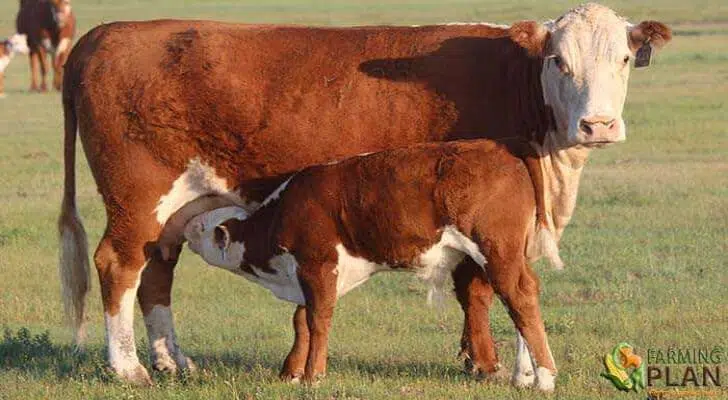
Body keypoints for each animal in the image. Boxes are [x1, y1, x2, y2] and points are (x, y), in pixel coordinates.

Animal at [182, 140, 564, 390]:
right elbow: (302, 320)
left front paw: (313, 375)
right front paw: (290, 372)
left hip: (496, 250)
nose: (185, 226)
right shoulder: (311, 273)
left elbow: (318, 320)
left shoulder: (318, 263)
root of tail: (501, 150)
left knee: (519, 296)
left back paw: (545, 378)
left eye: (201, 227)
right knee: (521, 294)